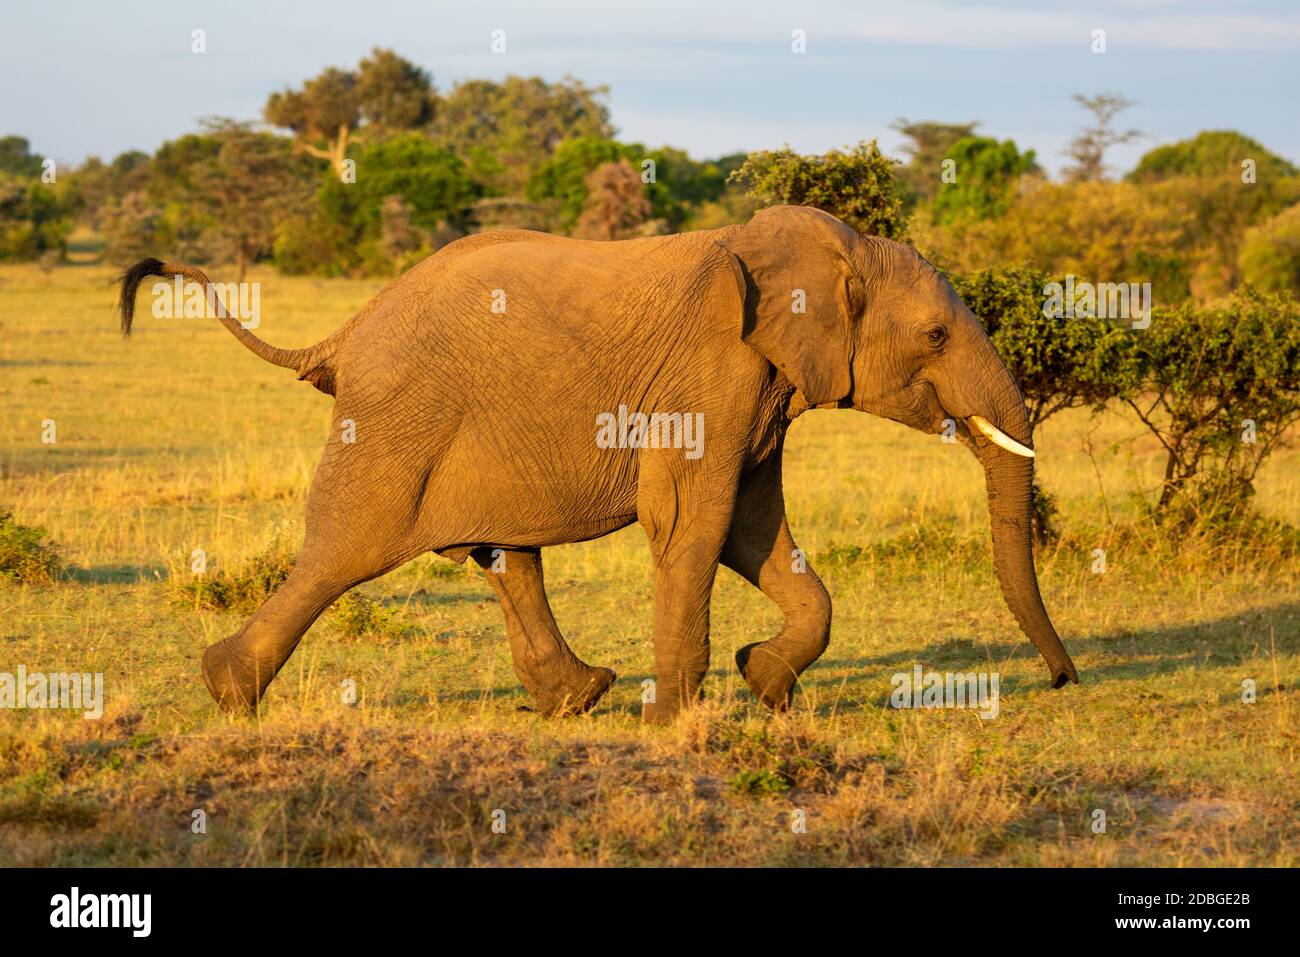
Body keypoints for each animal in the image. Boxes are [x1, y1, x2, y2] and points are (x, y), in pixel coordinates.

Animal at [117, 204, 1078, 722]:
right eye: (938, 335)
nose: (1062, 678)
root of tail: (345, 333)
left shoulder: (761, 388)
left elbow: (755, 532)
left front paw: (762, 681)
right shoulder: (714, 372)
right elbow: (693, 525)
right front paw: (678, 720)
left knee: (503, 555)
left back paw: (579, 699)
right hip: (396, 423)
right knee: (343, 552)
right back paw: (229, 693)